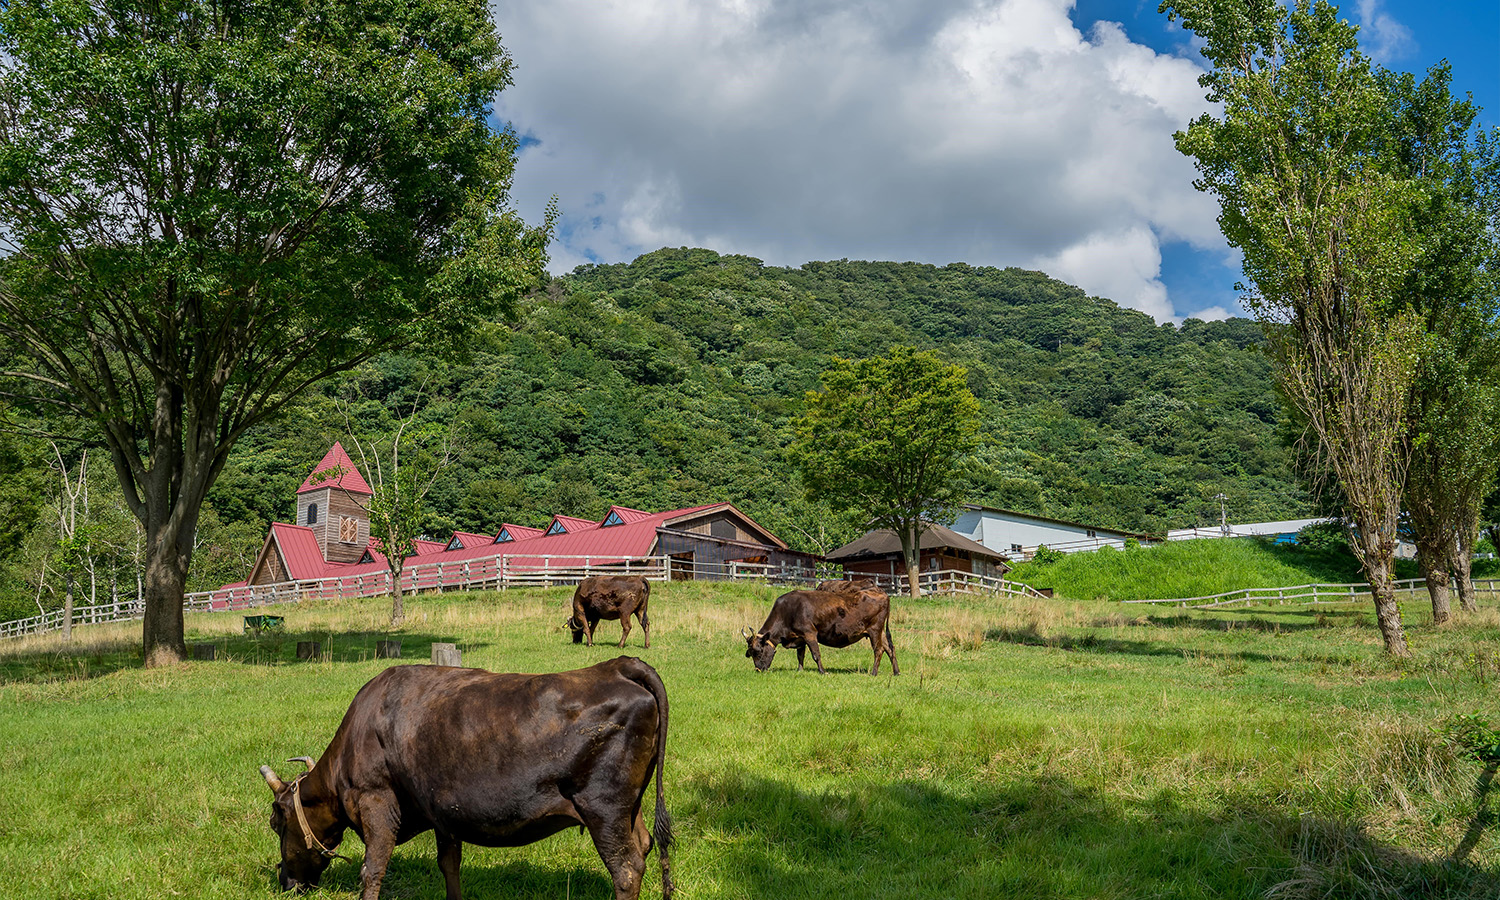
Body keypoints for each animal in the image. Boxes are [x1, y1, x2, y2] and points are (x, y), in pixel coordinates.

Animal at [259, 654, 675, 900]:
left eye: (277, 823)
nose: (285, 881)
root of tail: (618, 664)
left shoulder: (376, 799)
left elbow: (372, 869)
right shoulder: (443, 810)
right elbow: (449, 865)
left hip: (603, 807)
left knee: (626, 869)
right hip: (630, 806)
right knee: (644, 845)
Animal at [744, 585, 894, 675]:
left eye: (758, 651)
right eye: (750, 653)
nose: (758, 670)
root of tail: (881, 592)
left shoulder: (809, 633)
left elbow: (816, 654)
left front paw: (823, 671)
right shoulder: (800, 636)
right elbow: (800, 655)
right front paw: (800, 670)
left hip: (875, 630)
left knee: (879, 650)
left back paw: (874, 672)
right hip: (881, 632)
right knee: (890, 649)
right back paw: (896, 672)